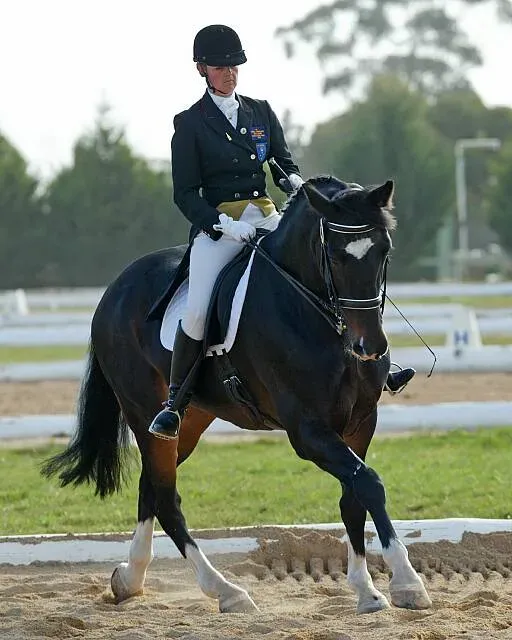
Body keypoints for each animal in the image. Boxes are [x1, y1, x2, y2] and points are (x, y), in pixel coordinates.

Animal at [43, 176, 432, 616]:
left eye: (384, 250)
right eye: (334, 254)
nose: (370, 347)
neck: (317, 315)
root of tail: (115, 289)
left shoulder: (361, 422)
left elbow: (354, 497)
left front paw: (367, 590)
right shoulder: (307, 432)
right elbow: (368, 483)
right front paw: (407, 582)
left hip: (188, 420)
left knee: (152, 487)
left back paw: (130, 579)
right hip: (144, 411)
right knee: (166, 498)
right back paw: (225, 590)